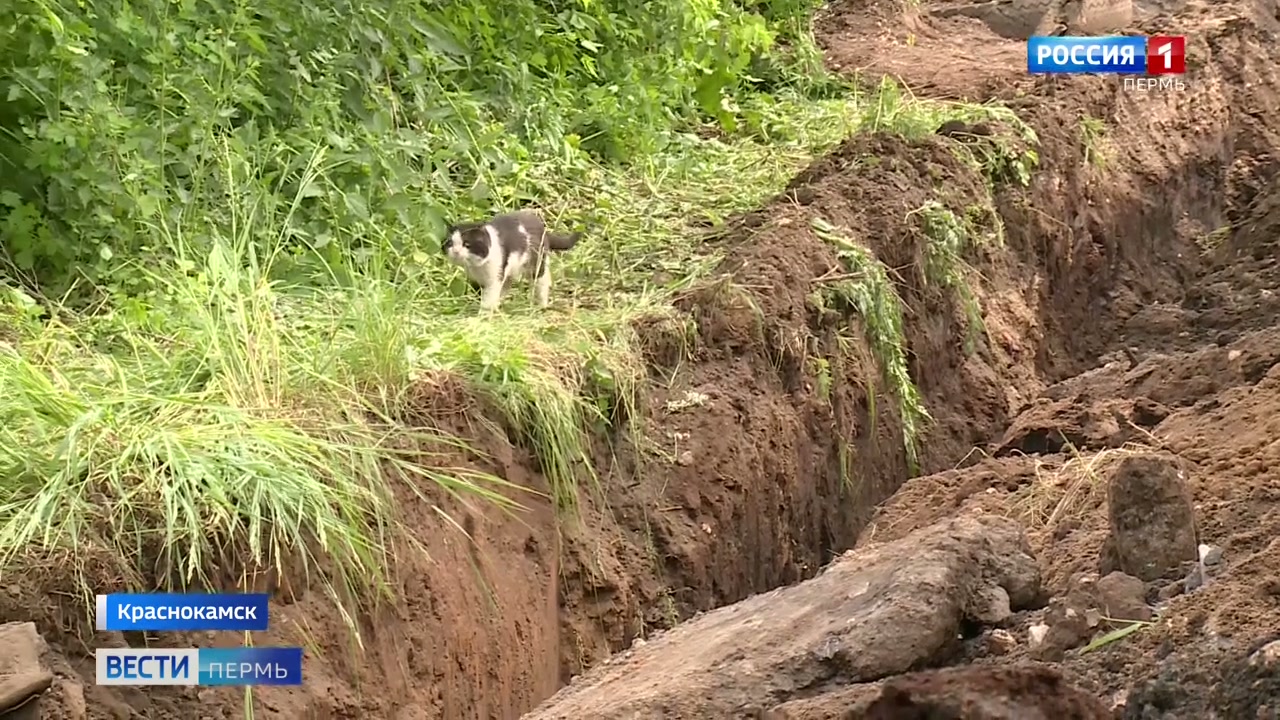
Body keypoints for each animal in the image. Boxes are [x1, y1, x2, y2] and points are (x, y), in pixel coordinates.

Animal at [440, 207, 581, 308]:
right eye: (450, 243)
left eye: (467, 244)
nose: (456, 251)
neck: (477, 266)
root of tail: (543, 228)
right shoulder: (474, 279)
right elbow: (479, 295)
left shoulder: (495, 277)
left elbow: (488, 300)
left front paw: (483, 317)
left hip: (536, 264)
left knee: (542, 282)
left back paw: (541, 306)